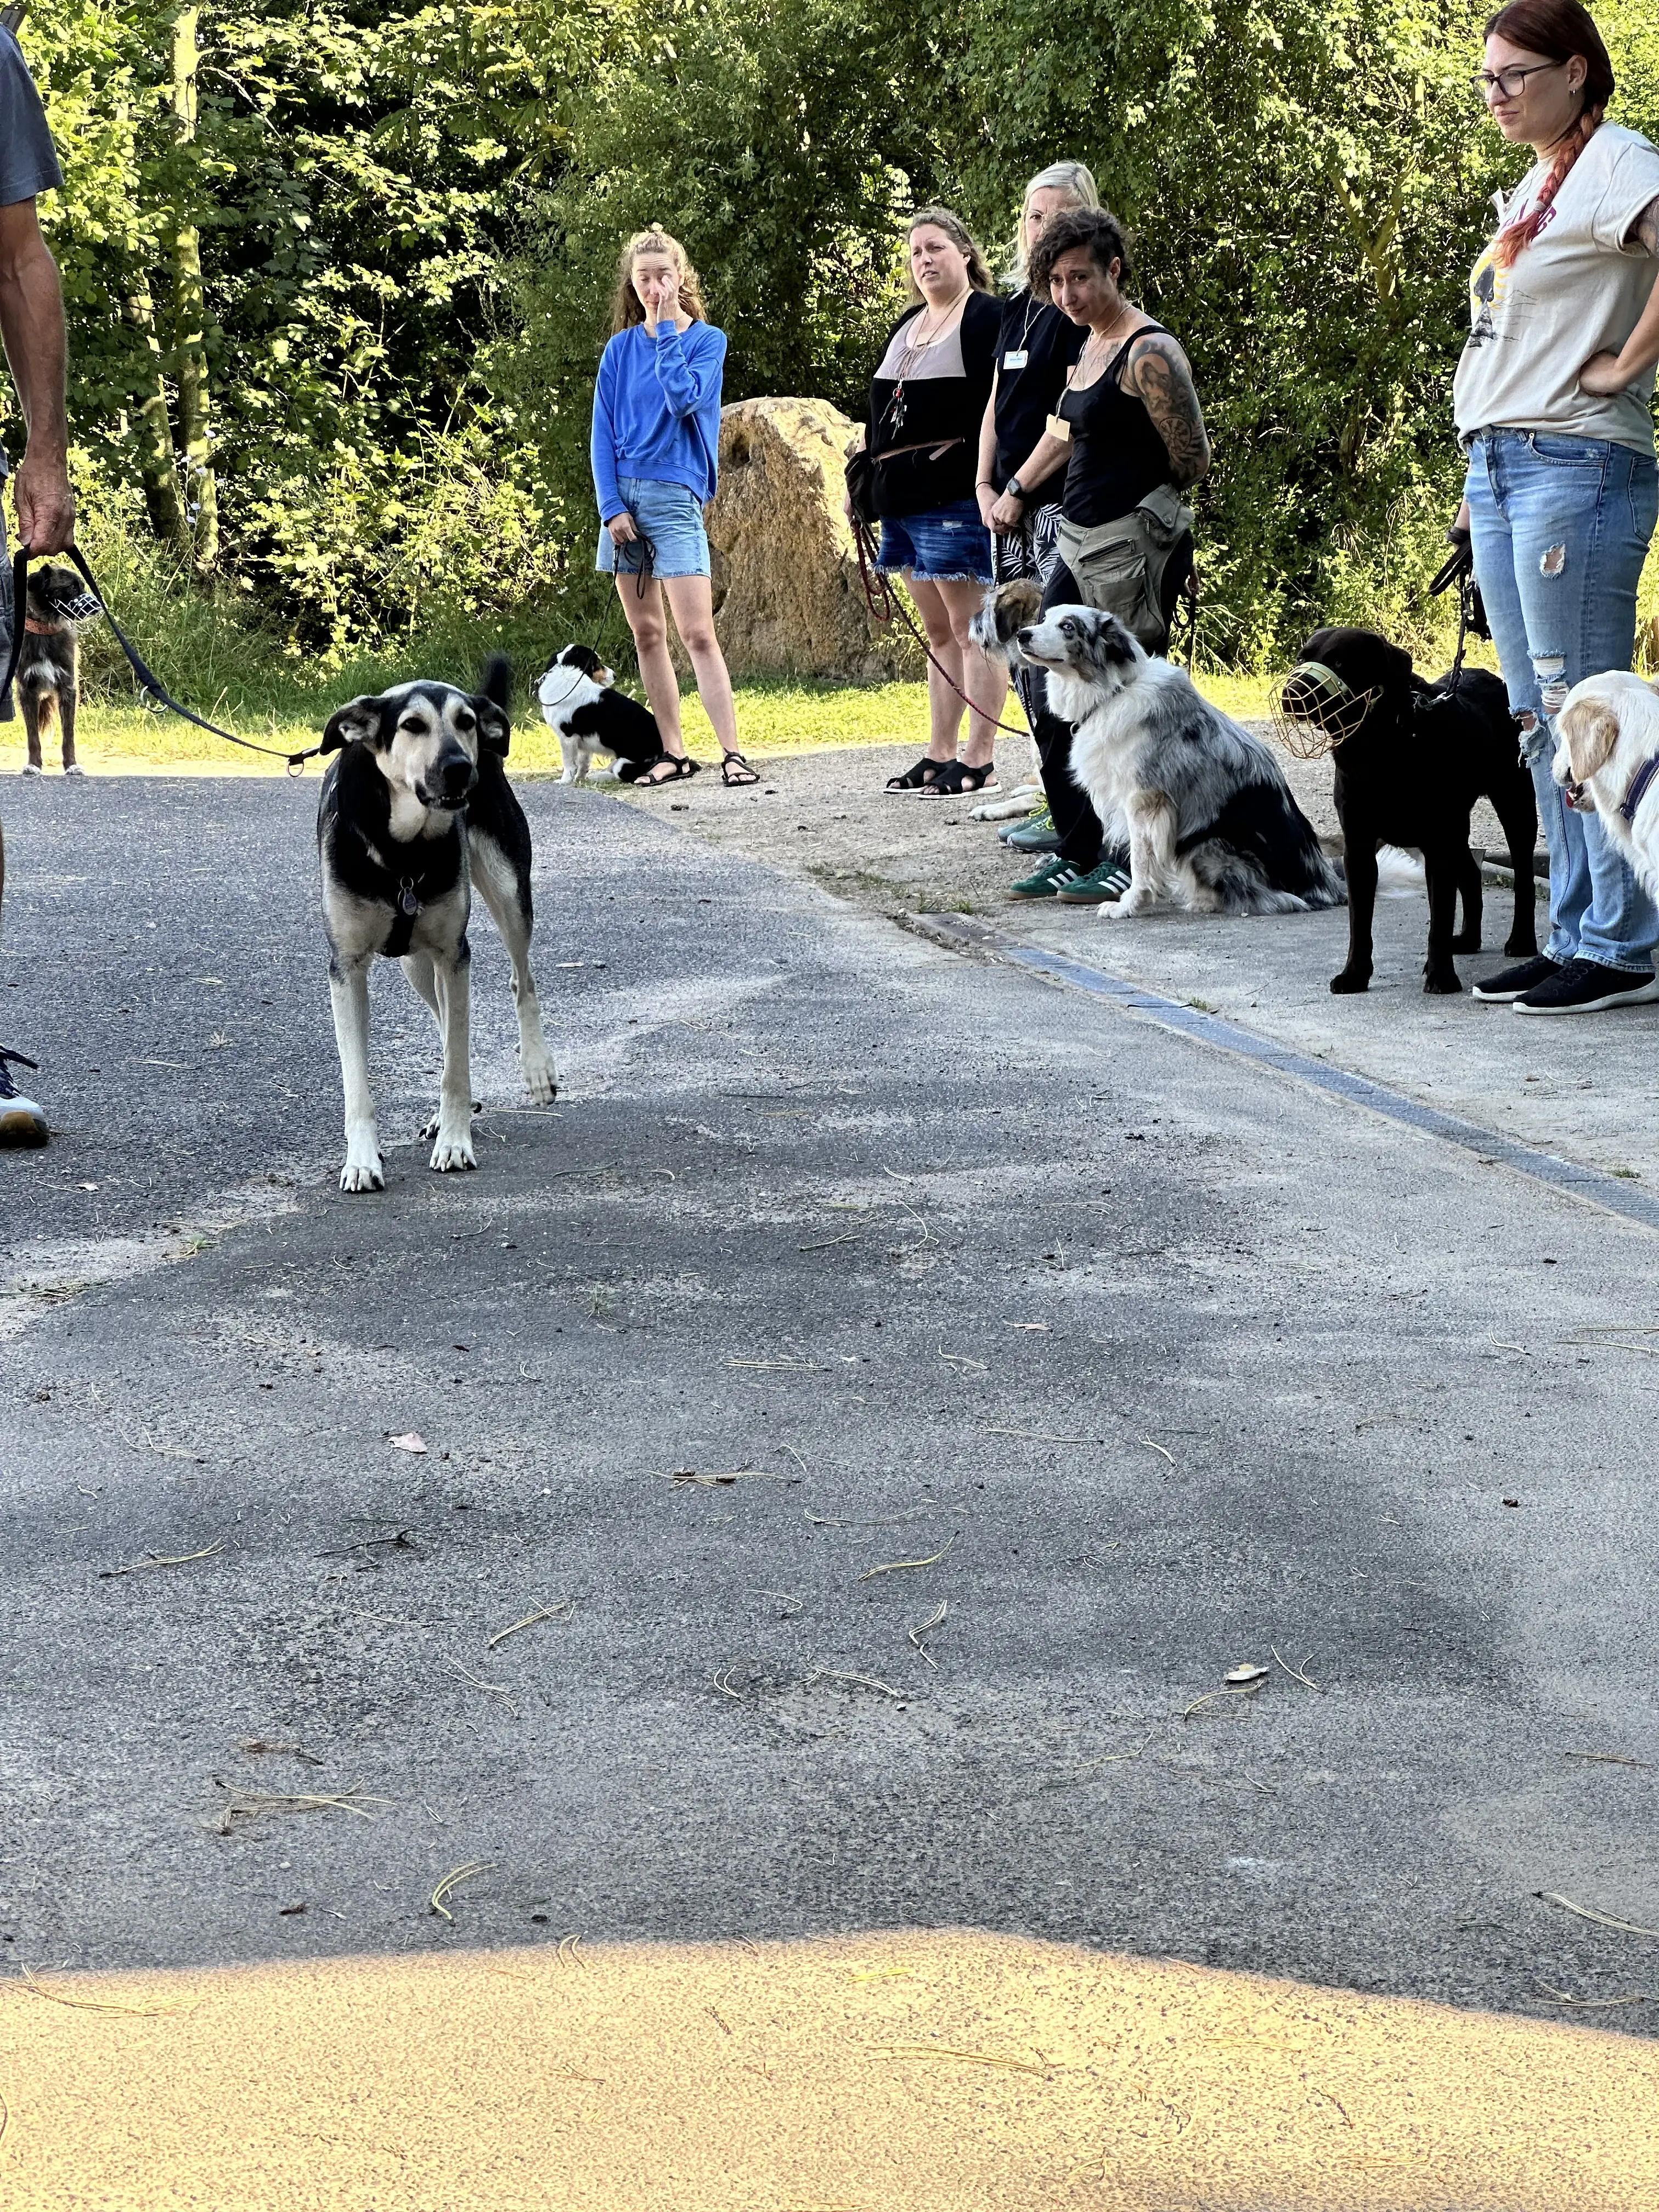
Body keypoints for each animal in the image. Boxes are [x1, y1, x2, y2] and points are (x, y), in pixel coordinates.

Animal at [318, 650, 560, 1194]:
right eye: (412, 725)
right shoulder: (347, 968)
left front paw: (455, 1142)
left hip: (508, 895)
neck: (403, 849)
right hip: (416, 963)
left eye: (465, 721)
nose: (460, 769)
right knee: (444, 1017)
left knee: (522, 980)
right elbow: (357, 1082)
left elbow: (457, 1067)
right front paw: (361, 1160)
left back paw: (538, 1070)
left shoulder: (455, 954)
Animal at [533, 641, 663, 787]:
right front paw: (580, 779)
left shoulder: (567, 737)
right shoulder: (583, 742)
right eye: (598, 663)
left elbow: (568, 763)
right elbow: (583, 763)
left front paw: (564, 781)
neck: (565, 672)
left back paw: (600, 777)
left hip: (623, 765)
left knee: (624, 775)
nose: (615, 675)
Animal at [986, 588, 1353, 916]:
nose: (1022, 635)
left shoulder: (1144, 800)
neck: (1112, 692)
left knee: (1273, 900)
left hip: (1206, 844)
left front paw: (1131, 905)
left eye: (1068, 627)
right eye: (1044, 619)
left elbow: (1140, 860)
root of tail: (1328, 887)